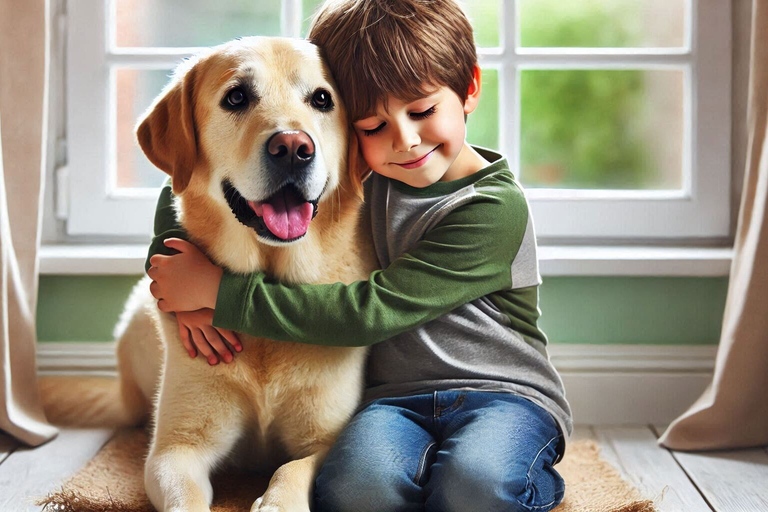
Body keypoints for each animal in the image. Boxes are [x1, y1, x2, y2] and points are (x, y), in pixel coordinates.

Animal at [106, 37, 378, 512]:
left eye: (321, 99)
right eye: (236, 97)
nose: (293, 147)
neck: (266, 282)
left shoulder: (327, 440)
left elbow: (290, 471)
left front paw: (275, 502)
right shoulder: (177, 448)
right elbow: (185, 497)